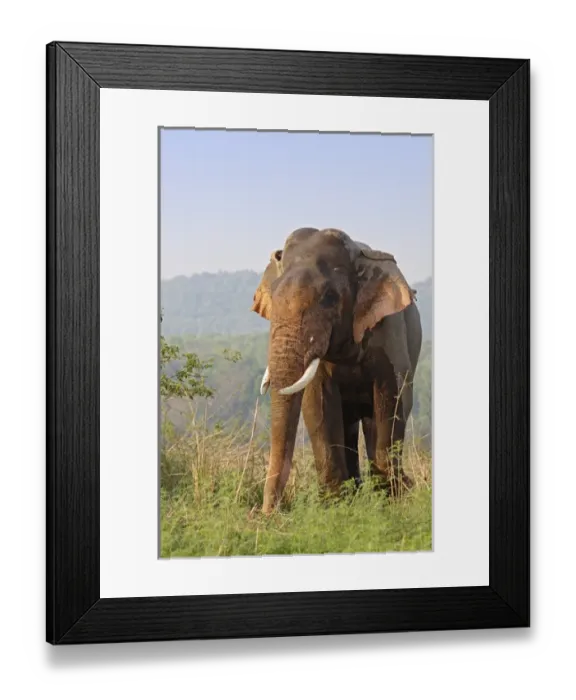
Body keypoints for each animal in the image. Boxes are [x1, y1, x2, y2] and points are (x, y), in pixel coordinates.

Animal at [251, 227, 422, 515]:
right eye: (272, 296)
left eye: (329, 298)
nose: (266, 515)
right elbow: (318, 403)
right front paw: (335, 506)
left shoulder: (389, 328)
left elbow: (392, 396)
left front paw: (390, 502)